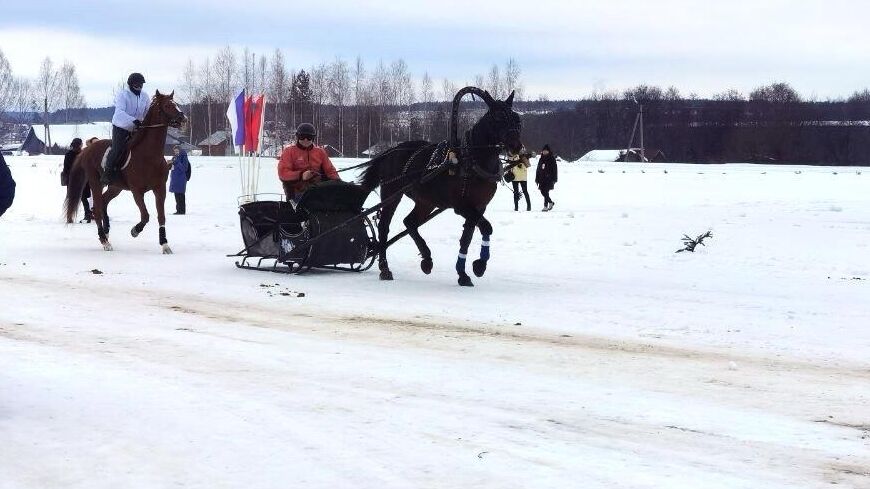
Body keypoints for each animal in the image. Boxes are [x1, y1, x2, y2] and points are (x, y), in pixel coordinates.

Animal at [62, 89, 186, 254]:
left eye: (176, 104)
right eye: (167, 105)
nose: (183, 118)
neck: (149, 156)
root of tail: (88, 149)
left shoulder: (160, 189)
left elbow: (161, 216)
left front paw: (165, 244)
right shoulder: (137, 191)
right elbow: (145, 215)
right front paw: (135, 230)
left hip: (115, 187)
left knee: (102, 203)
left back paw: (106, 232)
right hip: (96, 183)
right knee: (97, 208)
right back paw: (104, 241)